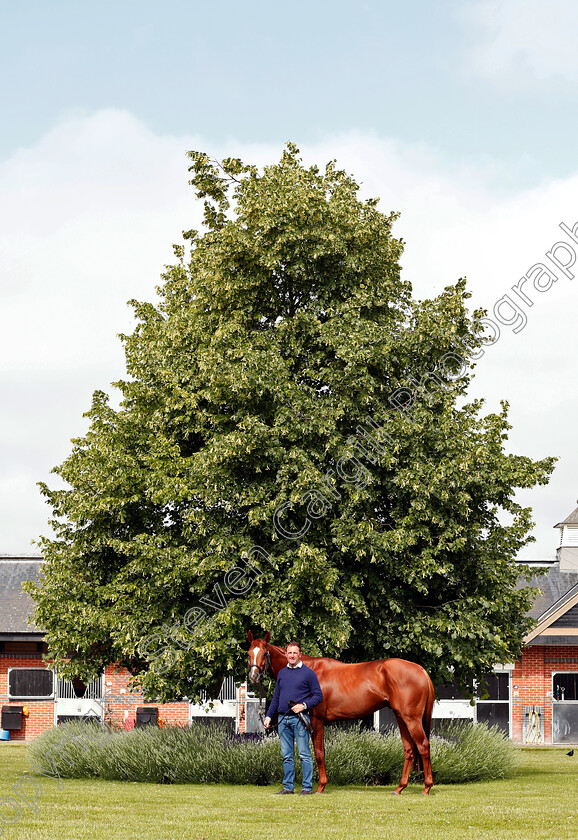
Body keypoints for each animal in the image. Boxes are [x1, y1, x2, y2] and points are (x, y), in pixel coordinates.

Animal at [248, 632, 432, 796]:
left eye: (264, 653)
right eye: (249, 653)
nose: (253, 676)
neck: (310, 669)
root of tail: (421, 670)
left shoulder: (316, 720)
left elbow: (319, 753)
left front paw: (321, 787)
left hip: (412, 719)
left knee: (423, 746)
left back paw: (426, 787)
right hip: (401, 718)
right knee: (409, 749)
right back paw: (399, 788)